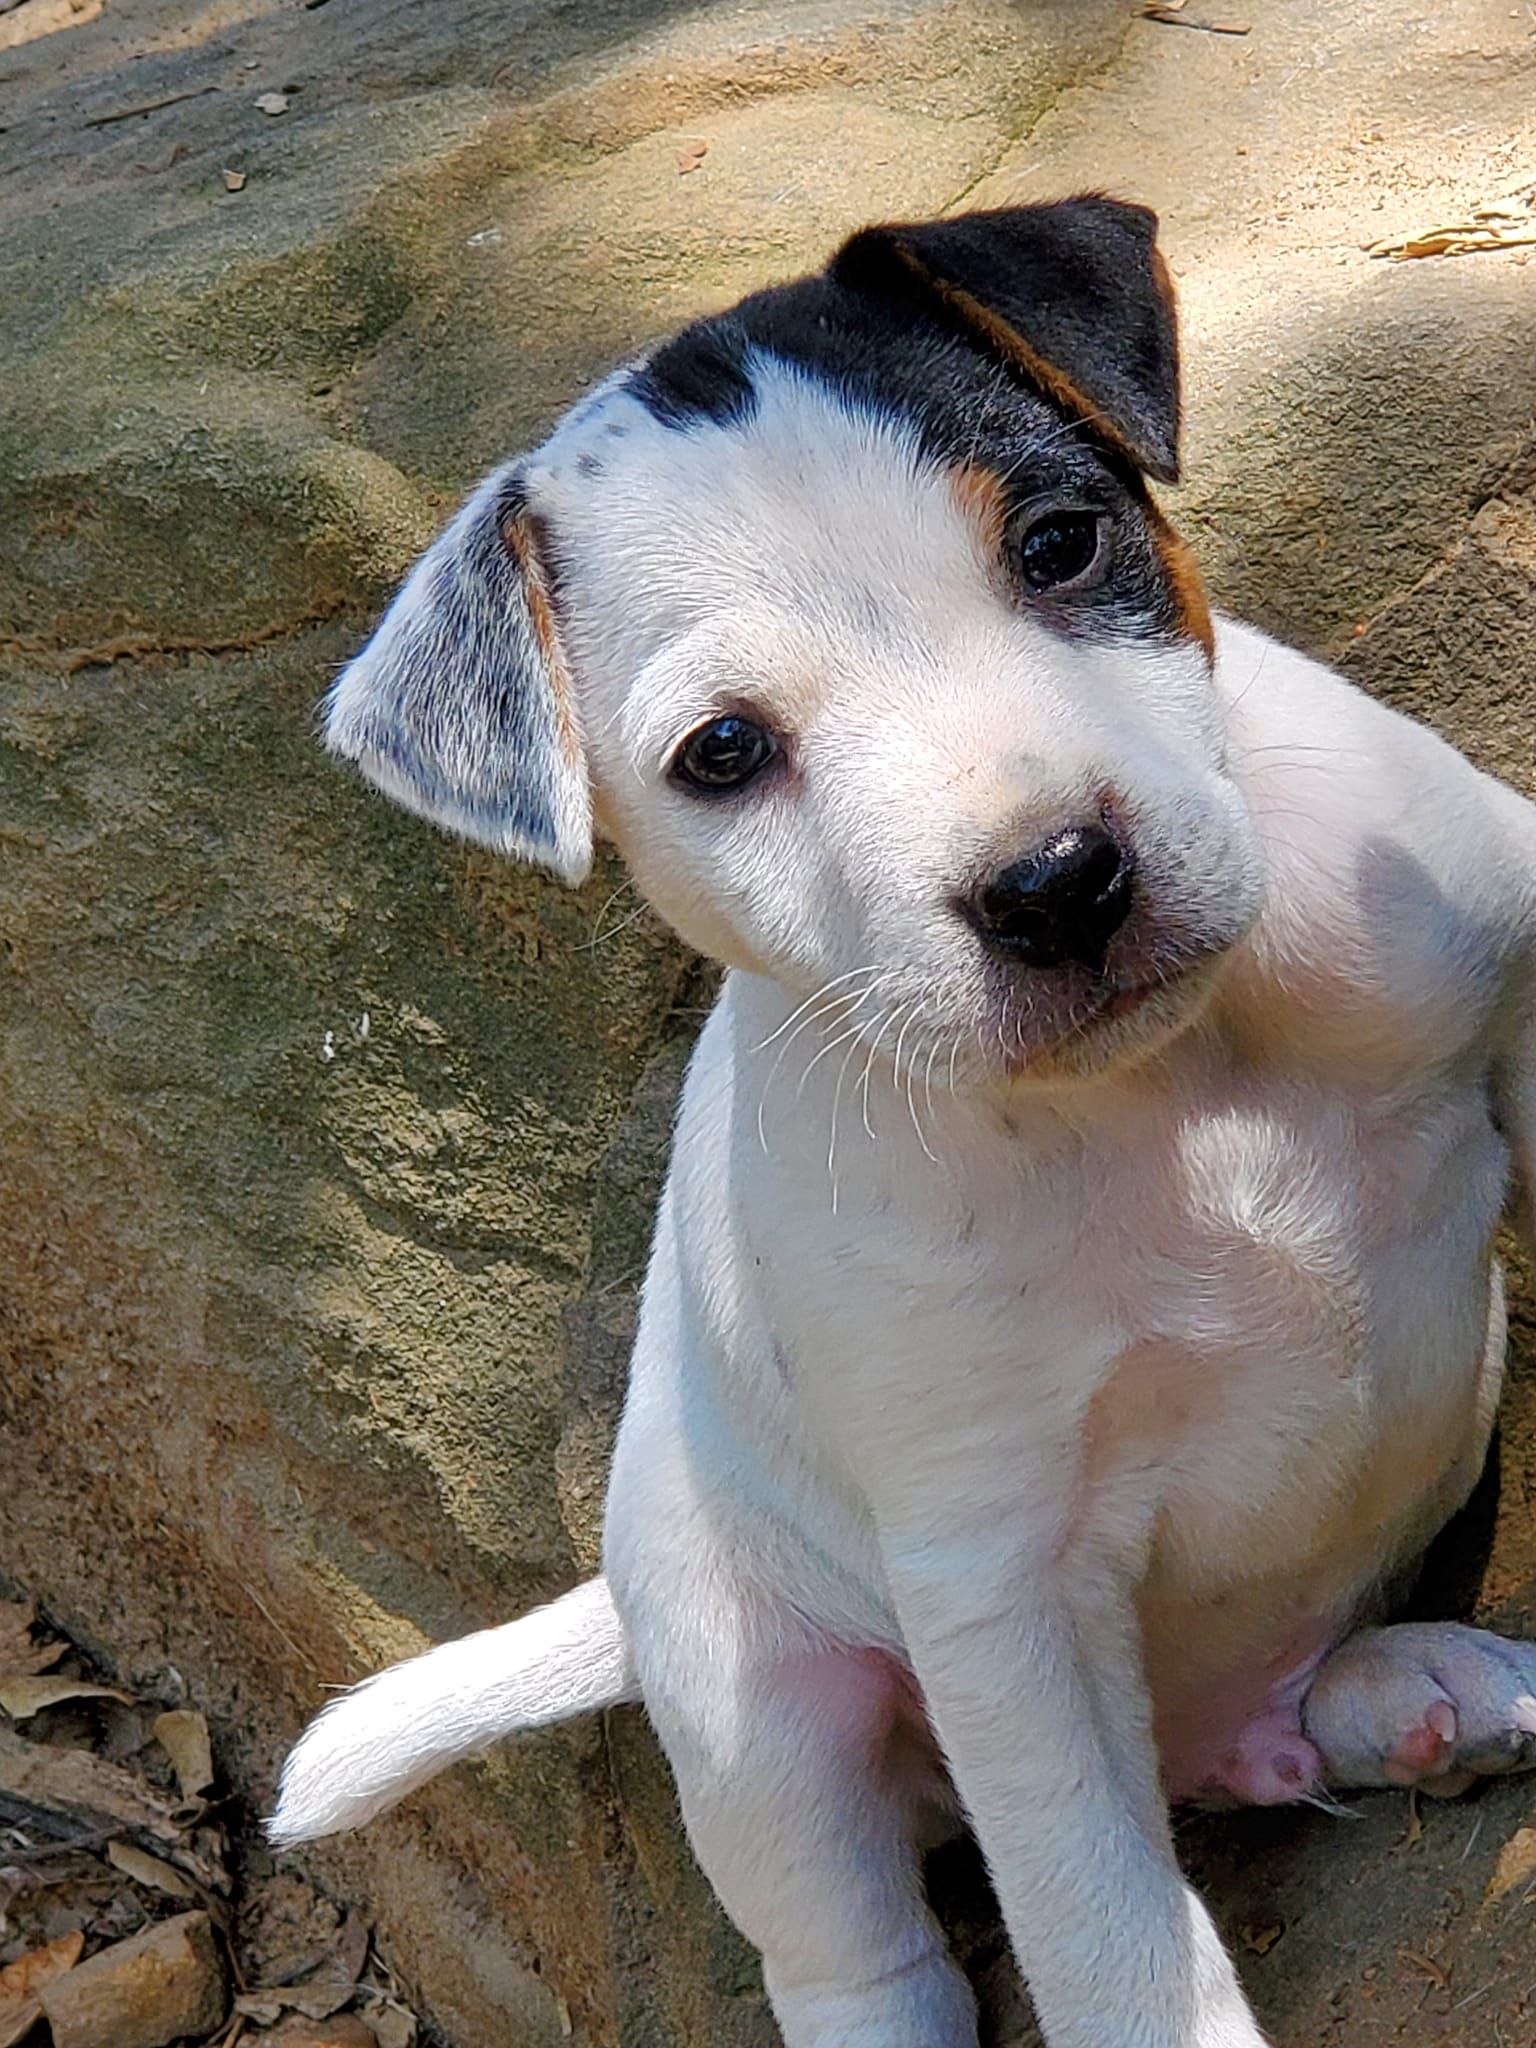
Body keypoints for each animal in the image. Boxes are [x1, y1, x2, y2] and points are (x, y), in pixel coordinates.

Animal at [270, 198, 1536, 2048]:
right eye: (724, 752)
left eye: (1062, 544)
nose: (1060, 883)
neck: (1169, 1085)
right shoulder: (999, 1582)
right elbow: (1112, 1938)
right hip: (762, 1715)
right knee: (858, 1947)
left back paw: (1414, 1684)